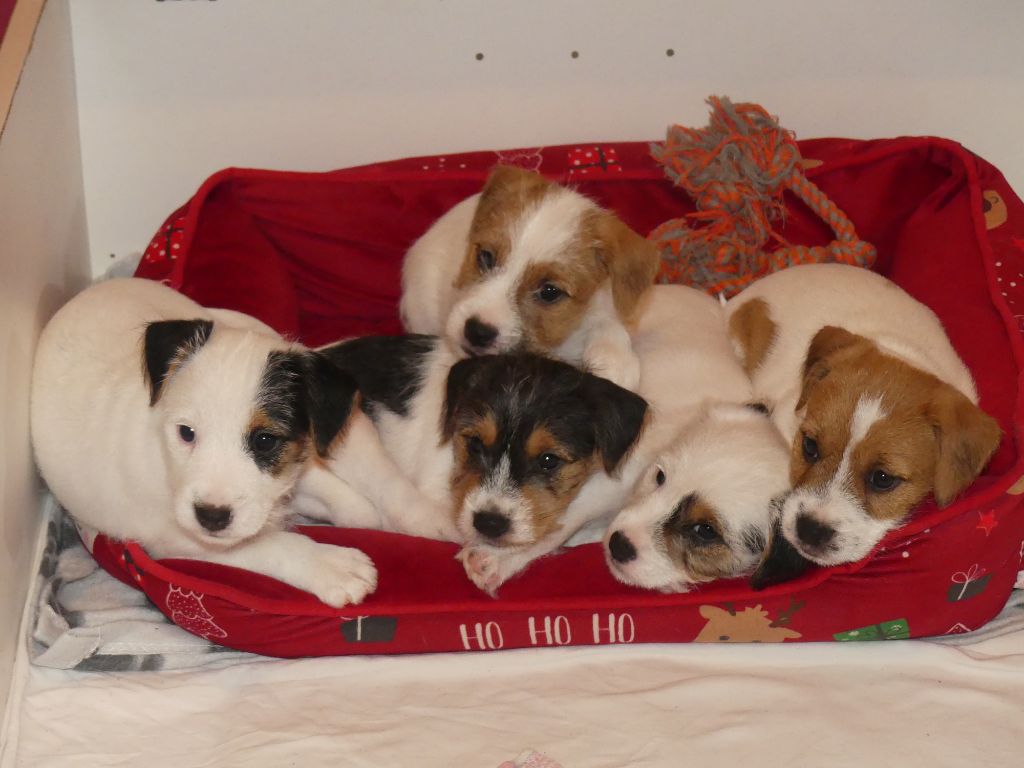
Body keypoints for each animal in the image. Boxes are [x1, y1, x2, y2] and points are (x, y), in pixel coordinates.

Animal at [30, 276, 376, 606]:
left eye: (265, 441)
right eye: (186, 433)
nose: (211, 516)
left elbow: (334, 494)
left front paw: (372, 518)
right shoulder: (180, 538)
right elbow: (273, 543)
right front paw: (331, 565)